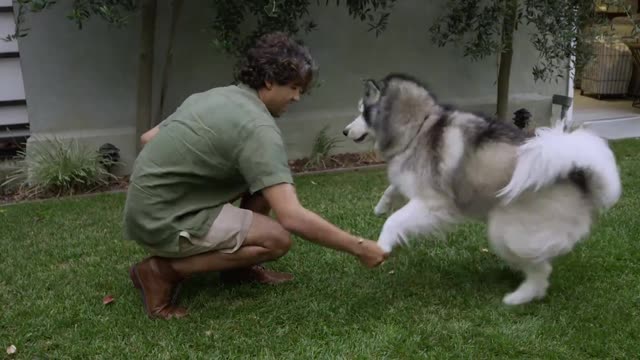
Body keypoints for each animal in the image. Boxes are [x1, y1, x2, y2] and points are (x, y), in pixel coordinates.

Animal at [342, 74, 624, 306]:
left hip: (507, 230)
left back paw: (520, 296)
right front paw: (381, 206)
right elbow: (393, 188)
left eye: (362, 112)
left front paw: (381, 246)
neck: (419, 125)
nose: (344, 131)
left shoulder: (433, 204)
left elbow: (394, 221)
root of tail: (580, 177)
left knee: (541, 270)